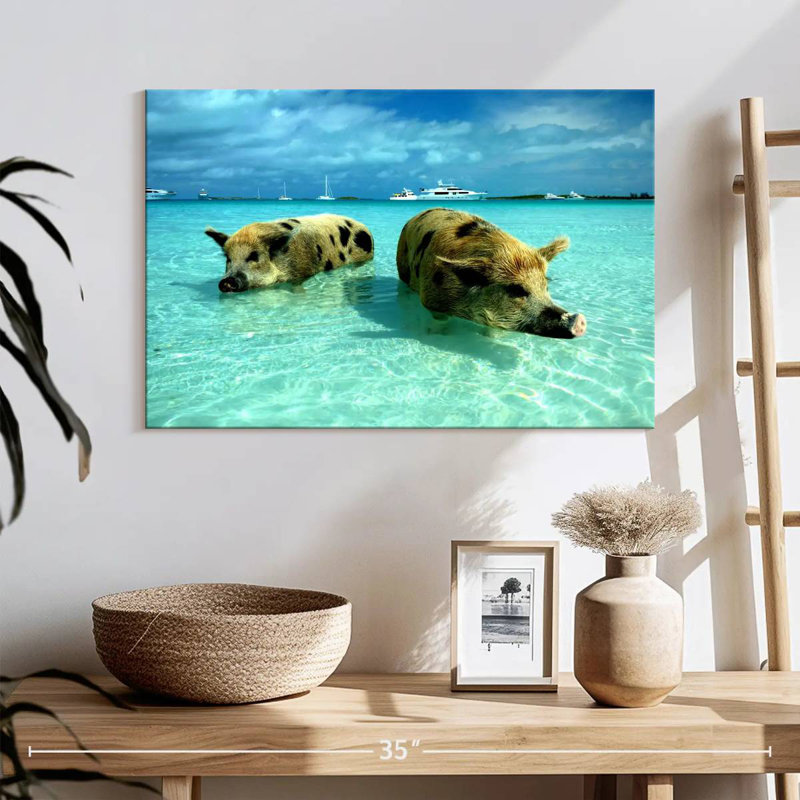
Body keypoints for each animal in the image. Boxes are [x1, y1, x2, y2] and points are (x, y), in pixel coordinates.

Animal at [396, 208, 586, 338]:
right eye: (517, 290)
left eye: (545, 286)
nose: (579, 319)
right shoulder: (431, 299)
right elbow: (439, 320)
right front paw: (437, 335)